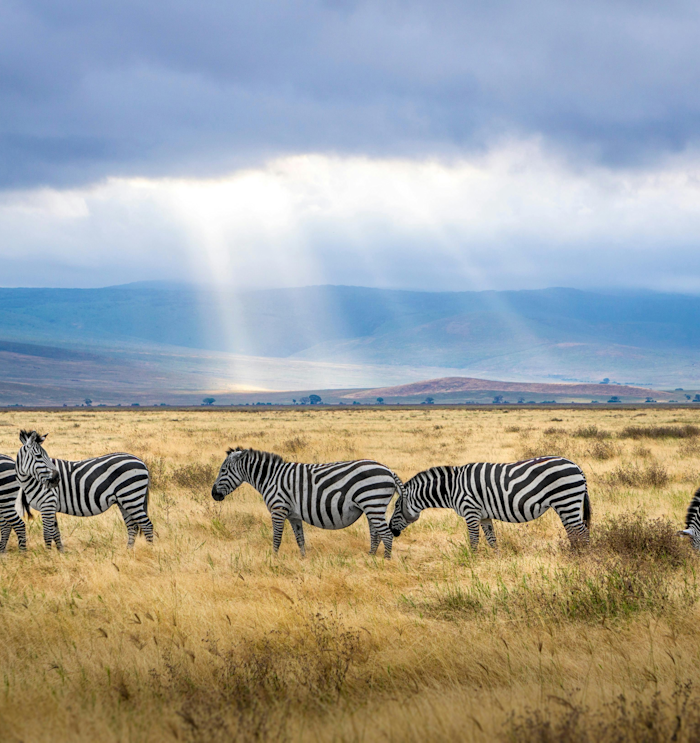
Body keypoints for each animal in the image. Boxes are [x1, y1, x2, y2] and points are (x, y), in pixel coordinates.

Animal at [16, 430, 153, 552]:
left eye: (46, 456)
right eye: (39, 456)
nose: (56, 479)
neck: (32, 480)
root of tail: (141, 461)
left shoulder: (48, 504)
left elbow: (47, 533)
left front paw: (48, 555)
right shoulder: (50, 506)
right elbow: (56, 533)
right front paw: (61, 553)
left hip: (131, 497)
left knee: (147, 525)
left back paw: (150, 551)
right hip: (124, 501)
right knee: (132, 526)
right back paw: (128, 552)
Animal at [209, 448, 404, 560]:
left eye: (223, 470)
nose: (213, 494)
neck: (270, 478)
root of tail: (388, 470)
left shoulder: (278, 509)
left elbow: (277, 538)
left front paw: (274, 560)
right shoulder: (293, 515)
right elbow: (300, 539)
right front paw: (303, 560)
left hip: (373, 503)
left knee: (386, 535)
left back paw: (385, 562)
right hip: (372, 507)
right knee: (375, 534)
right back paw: (370, 558)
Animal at [388, 456, 592, 548]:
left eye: (396, 506)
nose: (391, 530)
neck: (452, 488)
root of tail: (577, 467)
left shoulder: (470, 512)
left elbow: (474, 540)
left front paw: (472, 563)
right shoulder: (484, 516)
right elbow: (492, 540)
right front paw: (496, 562)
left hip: (566, 500)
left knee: (582, 532)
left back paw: (583, 558)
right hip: (565, 505)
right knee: (574, 532)